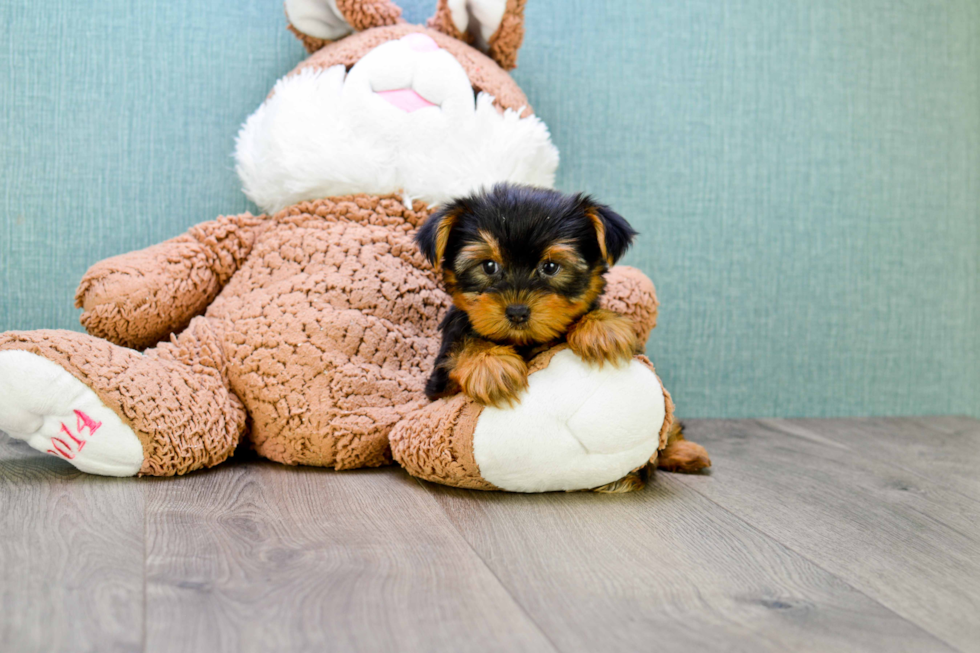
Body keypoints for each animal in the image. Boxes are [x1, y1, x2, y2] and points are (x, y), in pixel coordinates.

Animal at [416, 183, 640, 408]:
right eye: (489, 266)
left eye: (550, 267)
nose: (517, 312)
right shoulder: (439, 387)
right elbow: (461, 343)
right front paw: (489, 361)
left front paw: (601, 326)